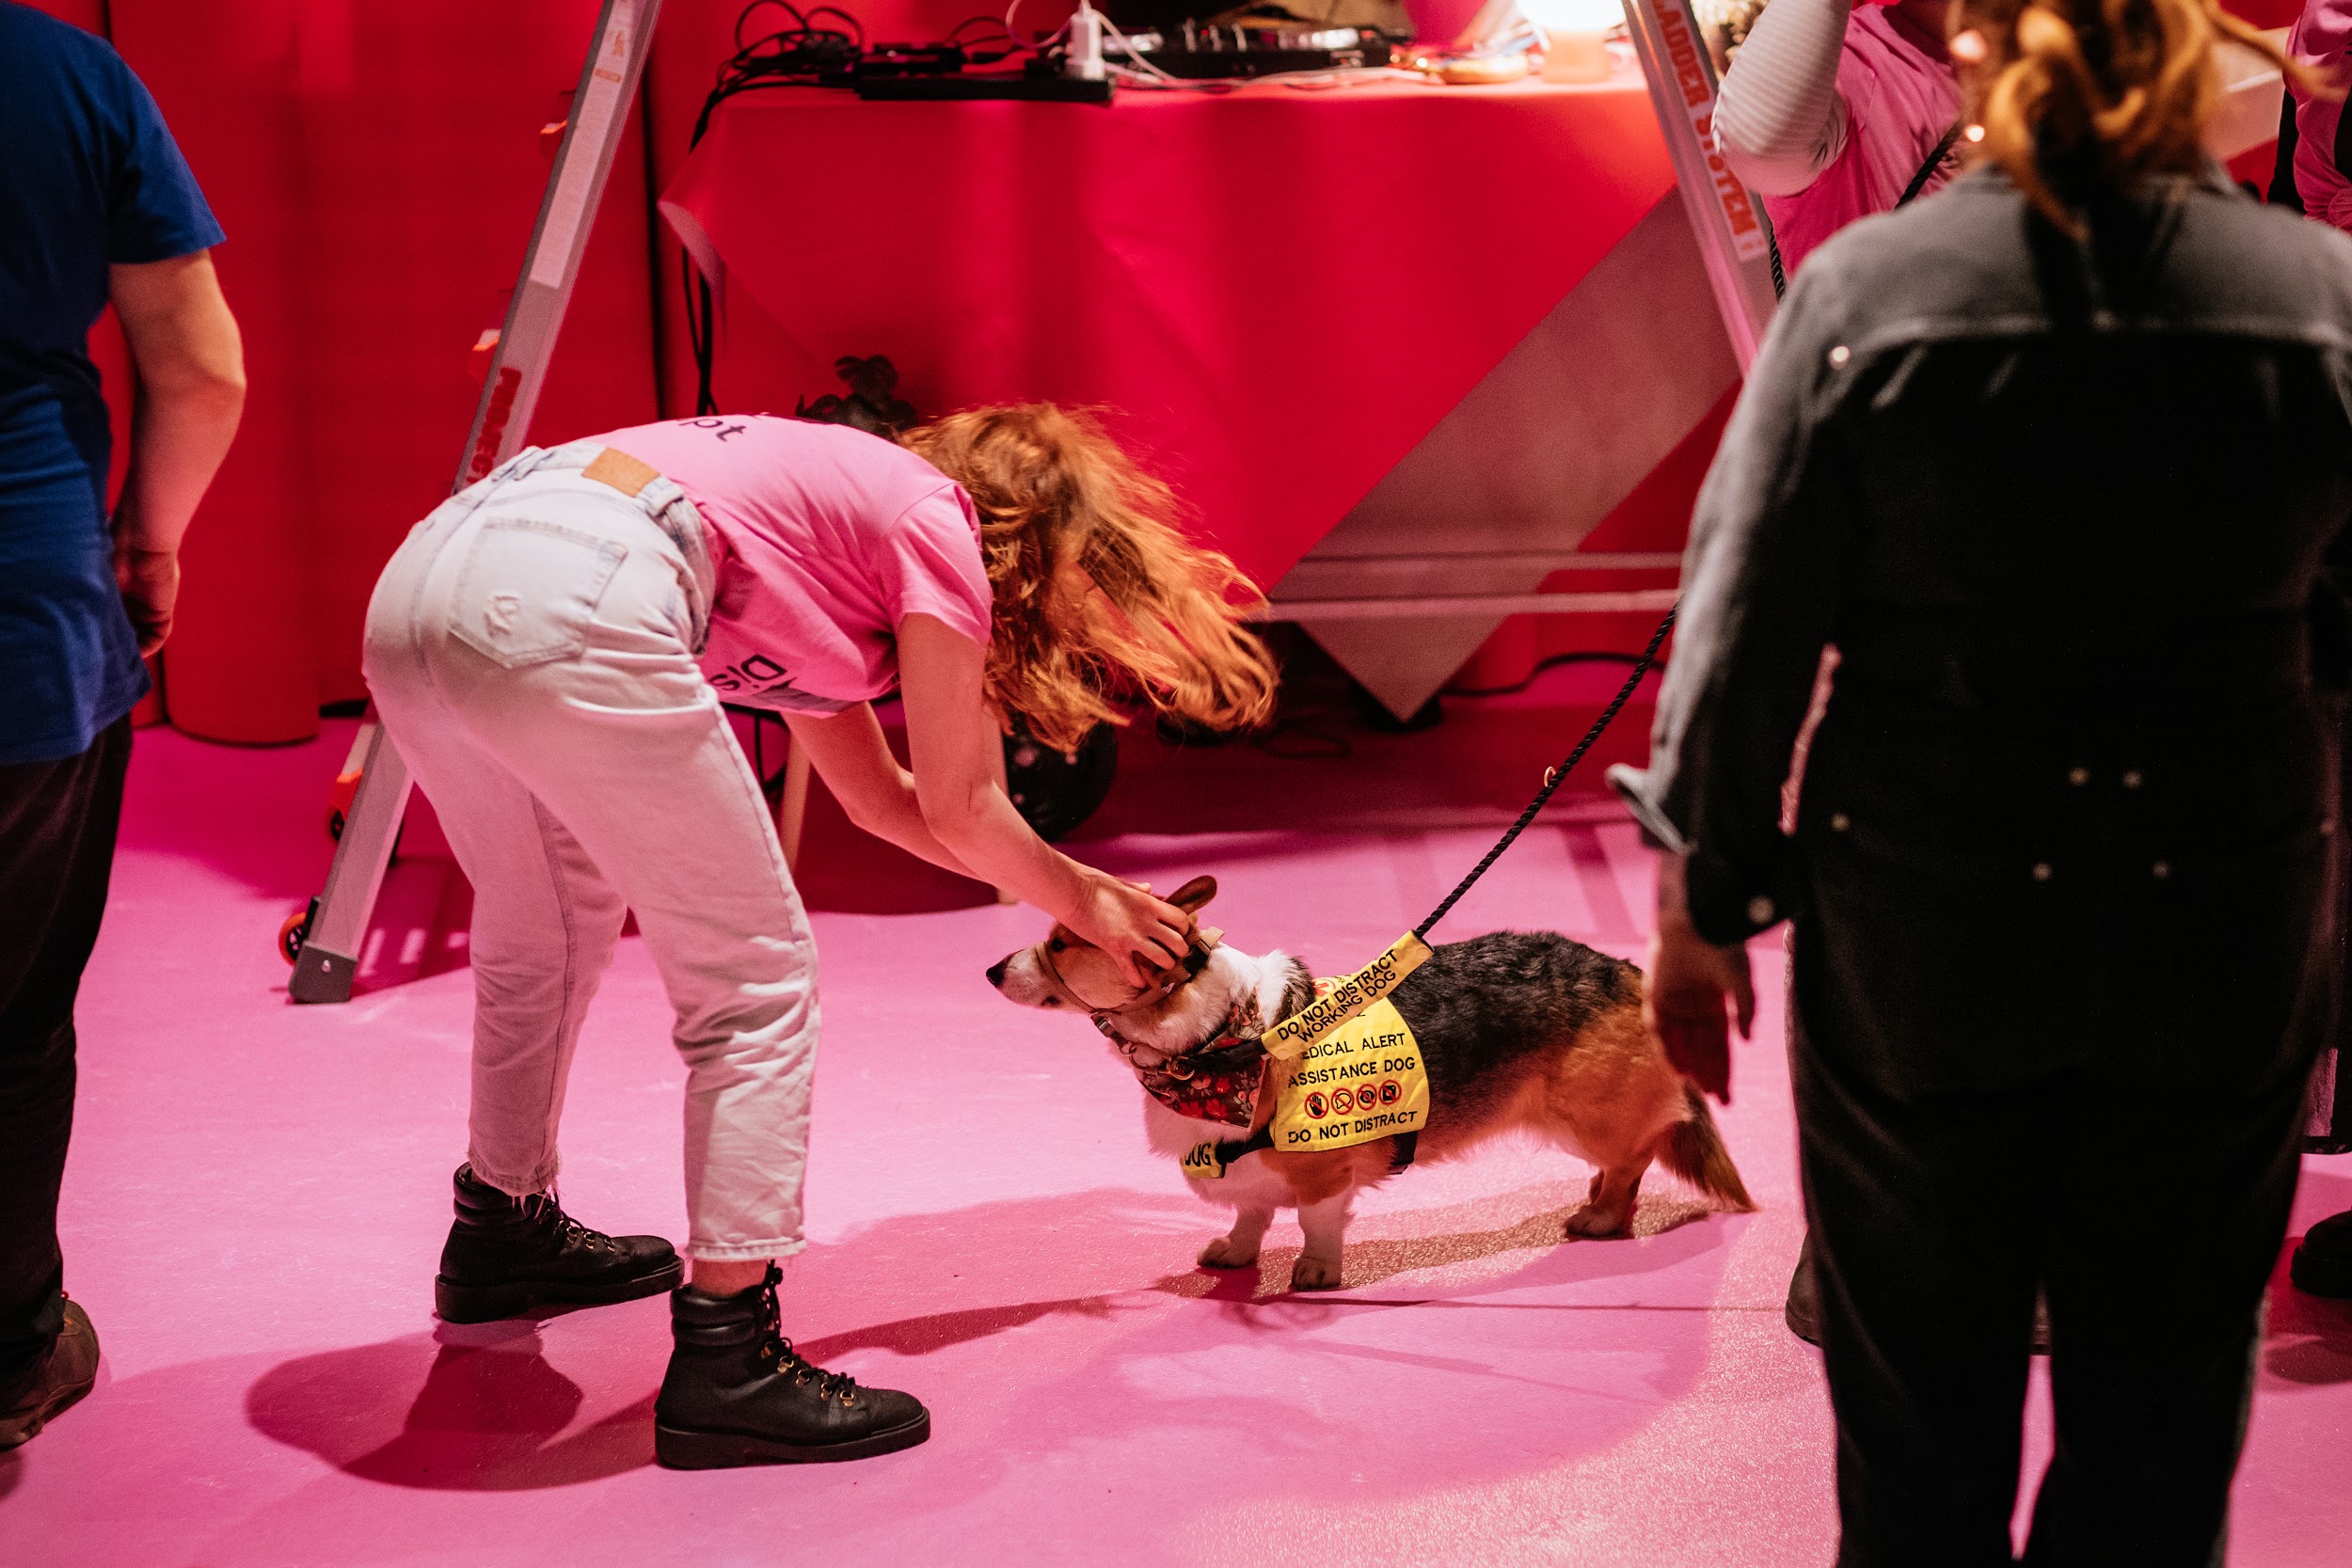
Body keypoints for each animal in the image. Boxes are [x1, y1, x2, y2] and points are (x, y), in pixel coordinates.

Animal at [983, 879, 1759, 1297]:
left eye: (1061, 944)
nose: (990, 970)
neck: (1223, 1035)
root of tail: (1626, 969)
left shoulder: (1323, 1173)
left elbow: (1314, 1222)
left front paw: (1316, 1271)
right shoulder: (1249, 1172)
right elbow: (1252, 1216)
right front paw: (1236, 1252)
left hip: (1586, 1117)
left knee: (1634, 1156)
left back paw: (1602, 1217)